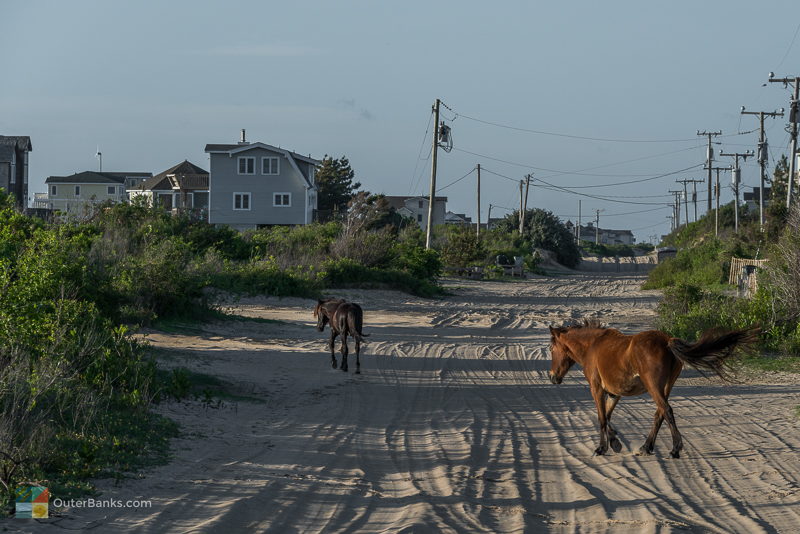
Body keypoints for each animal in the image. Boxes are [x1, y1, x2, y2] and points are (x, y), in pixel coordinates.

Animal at [552, 320, 756, 458]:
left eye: (552, 349)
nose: (553, 377)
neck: (593, 345)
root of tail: (667, 340)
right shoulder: (614, 393)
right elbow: (608, 416)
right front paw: (615, 443)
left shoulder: (597, 390)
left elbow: (602, 418)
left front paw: (601, 448)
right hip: (665, 387)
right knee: (660, 413)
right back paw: (646, 447)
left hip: (654, 387)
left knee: (666, 410)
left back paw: (675, 449)